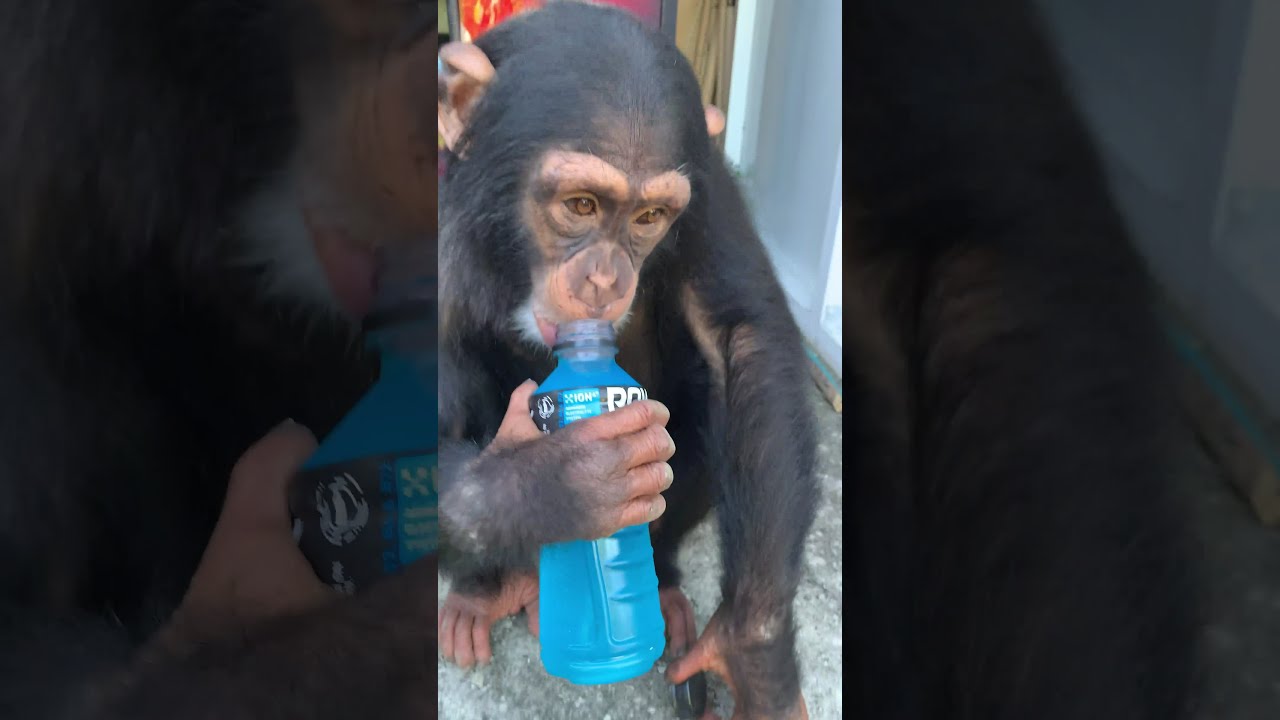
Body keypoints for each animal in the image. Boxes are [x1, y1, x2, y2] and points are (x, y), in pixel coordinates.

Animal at [436, 4, 818, 718]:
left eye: (649, 216)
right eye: (580, 205)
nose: (604, 278)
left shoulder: (709, 185)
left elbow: (743, 338)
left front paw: (755, 657)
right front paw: (564, 484)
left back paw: (661, 590)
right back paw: (488, 589)